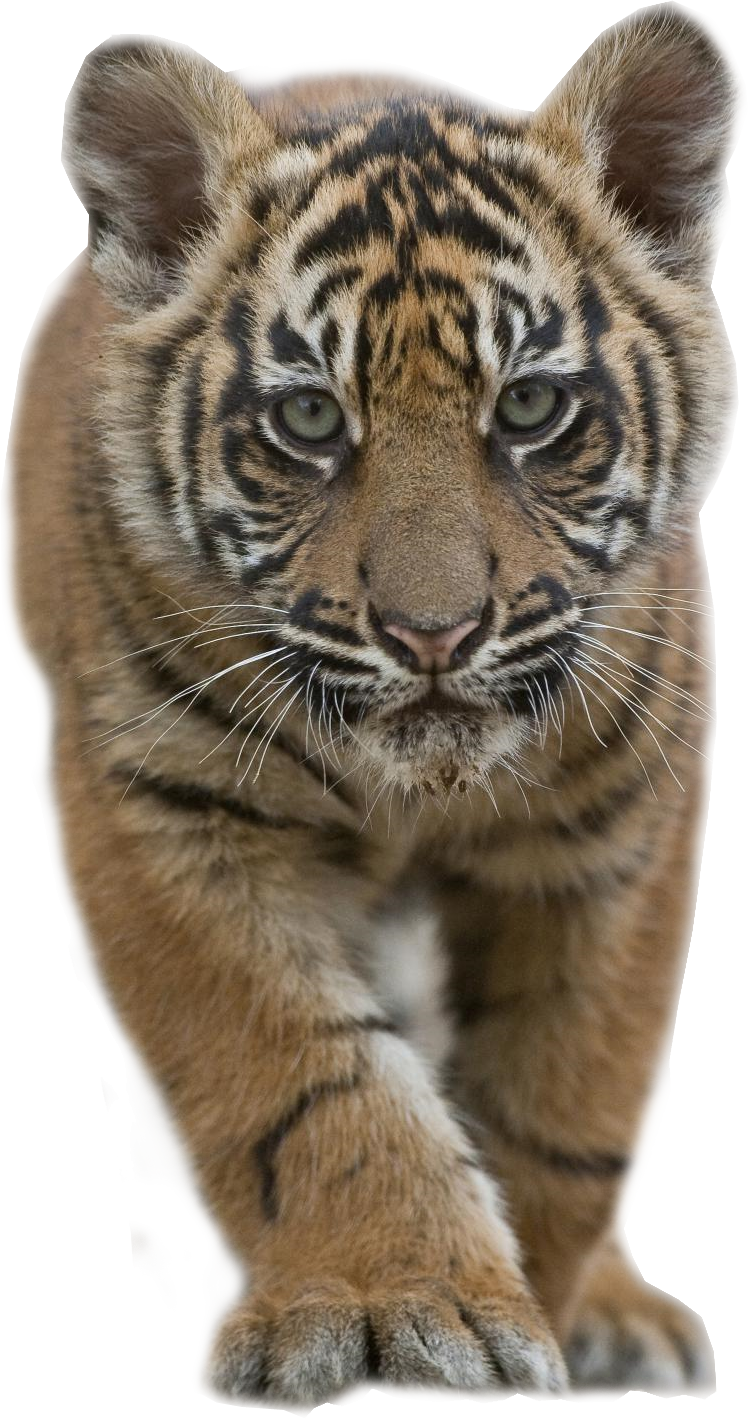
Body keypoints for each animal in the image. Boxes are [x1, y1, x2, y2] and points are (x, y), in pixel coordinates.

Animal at [2, 4, 744, 1409]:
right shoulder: (153, 808)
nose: (432, 634)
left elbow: (572, 1100)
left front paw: (534, 1305)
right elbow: (300, 1076)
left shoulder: (629, 811)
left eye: (529, 405)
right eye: (306, 419)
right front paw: (391, 1301)